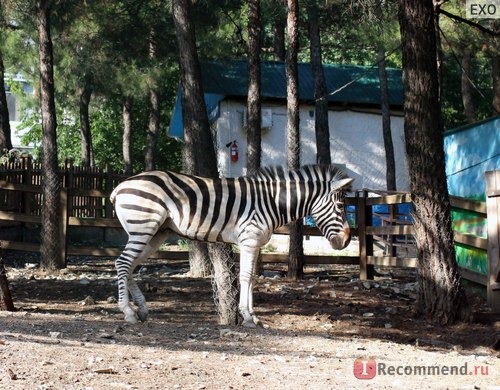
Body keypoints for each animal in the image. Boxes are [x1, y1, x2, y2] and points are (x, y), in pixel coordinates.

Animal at [110, 166, 352, 328]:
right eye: (341, 206)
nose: (347, 241)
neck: (272, 202)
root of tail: (120, 186)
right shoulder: (249, 239)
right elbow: (244, 276)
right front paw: (246, 316)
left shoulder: (255, 243)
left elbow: (252, 278)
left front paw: (254, 316)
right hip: (143, 227)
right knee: (123, 263)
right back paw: (128, 312)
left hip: (155, 234)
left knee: (129, 266)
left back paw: (141, 310)